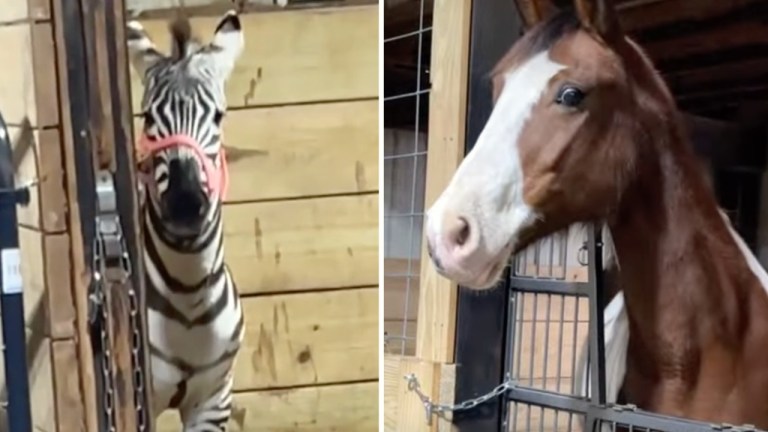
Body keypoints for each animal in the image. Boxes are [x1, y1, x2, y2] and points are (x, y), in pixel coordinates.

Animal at [126, 10, 244, 432]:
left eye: (218, 116)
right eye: (147, 117)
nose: (185, 202)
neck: (189, 295)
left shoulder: (213, 399)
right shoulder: (139, 397)